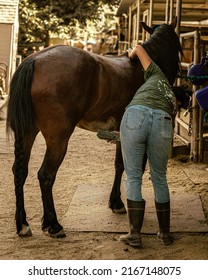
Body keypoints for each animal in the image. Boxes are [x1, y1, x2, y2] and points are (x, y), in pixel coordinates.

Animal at [6, 18, 182, 237]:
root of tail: (35, 60)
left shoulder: (122, 133)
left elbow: (120, 165)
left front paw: (116, 202)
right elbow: (135, 167)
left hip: (27, 132)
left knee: (20, 171)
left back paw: (22, 224)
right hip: (58, 138)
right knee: (46, 175)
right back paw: (53, 224)